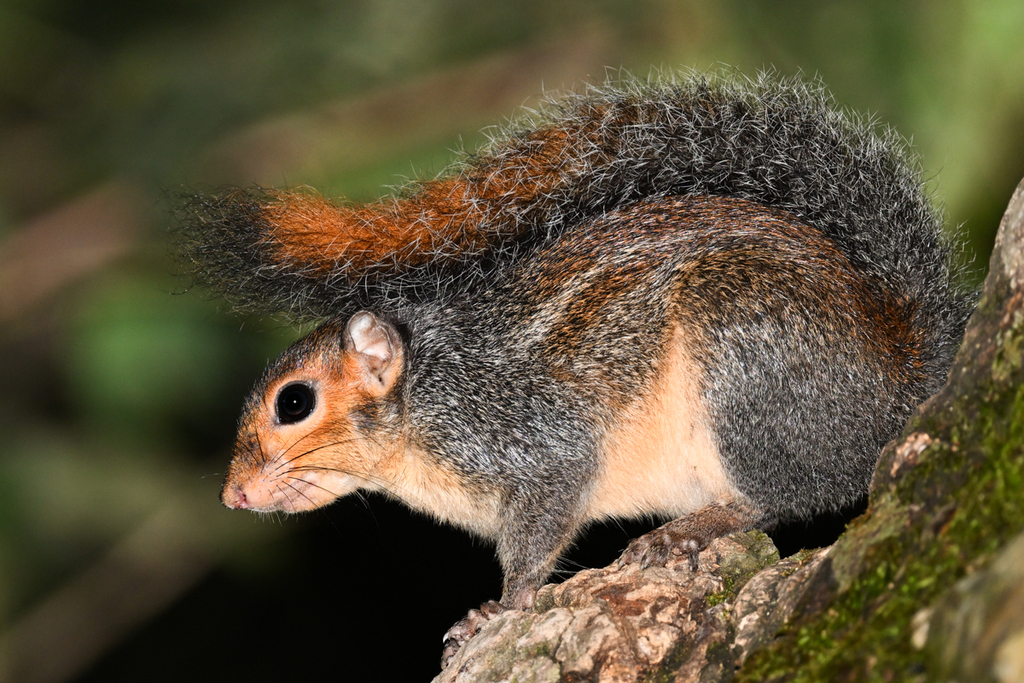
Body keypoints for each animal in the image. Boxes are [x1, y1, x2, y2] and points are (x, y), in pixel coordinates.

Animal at [175, 71, 971, 663]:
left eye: (294, 402)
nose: (232, 496)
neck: (426, 402)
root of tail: (900, 371)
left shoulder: (529, 437)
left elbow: (538, 533)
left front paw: (501, 606)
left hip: (747, 361)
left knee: (787, 493)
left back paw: (690, 529)